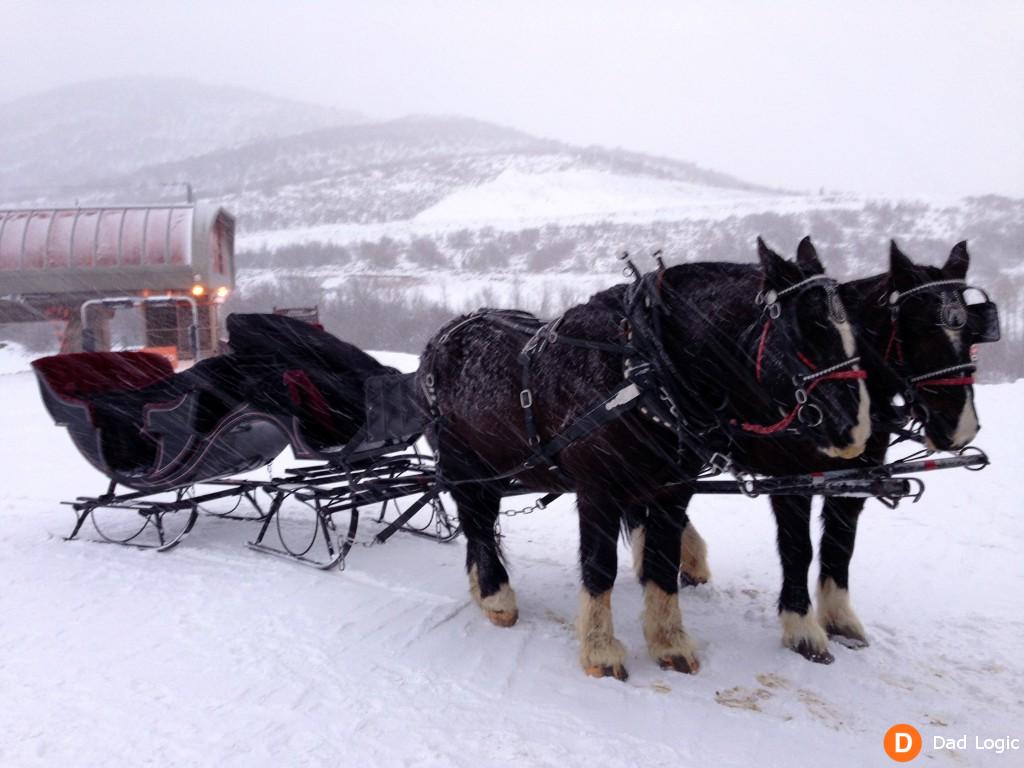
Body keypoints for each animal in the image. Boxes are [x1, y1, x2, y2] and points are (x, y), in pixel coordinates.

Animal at [419, 240, 868, 679]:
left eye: (852, 330)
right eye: (805, 331)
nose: (856, 430)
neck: (641, 367)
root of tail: (442, 336)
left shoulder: (672, 489)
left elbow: (662, 562)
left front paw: (669, 643)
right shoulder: (597, 489)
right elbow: (600, 567)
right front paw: (600, 651)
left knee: (479, 523)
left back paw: (481, 587)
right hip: (463, 461)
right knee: (478, 523)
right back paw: (497, 596)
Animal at [667, 243, 987, 663]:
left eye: (971, 332)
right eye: (917, 330)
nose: (960, 426)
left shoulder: (855, 481)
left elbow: (840, 545)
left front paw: (840, 621)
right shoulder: (791, 480)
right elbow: (798, 549)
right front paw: (802, 629)